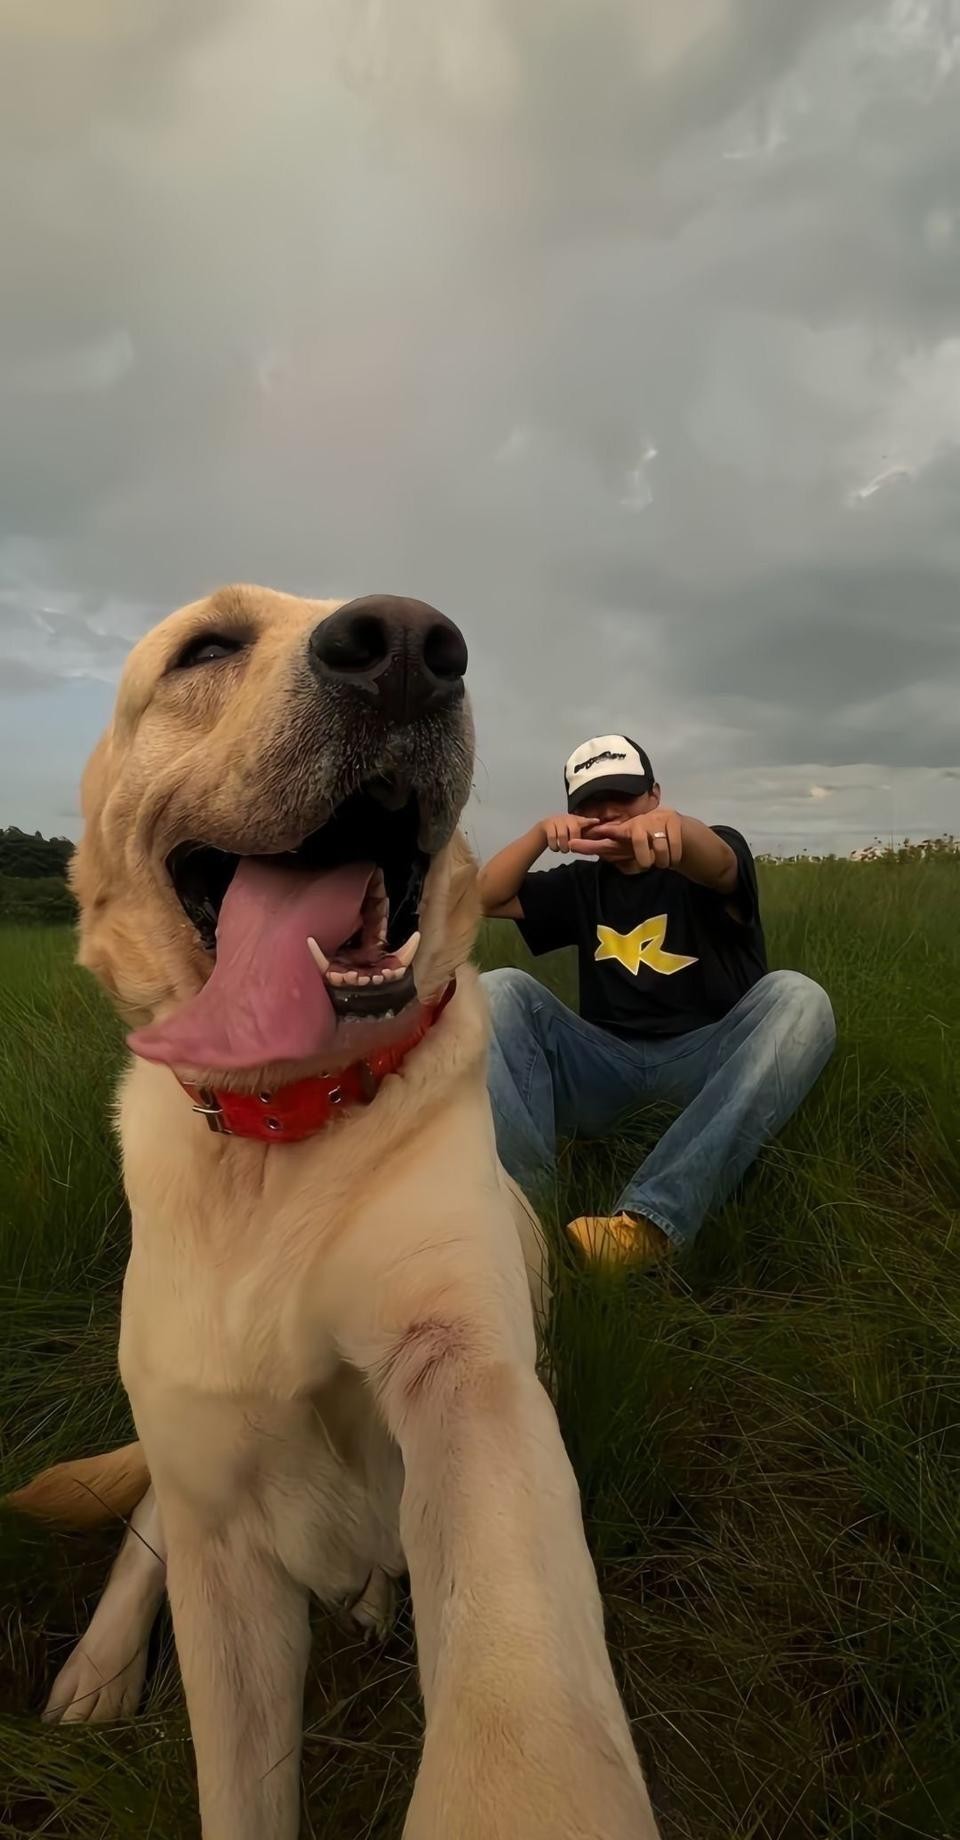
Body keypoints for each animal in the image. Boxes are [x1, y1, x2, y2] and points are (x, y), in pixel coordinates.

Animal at [11, 592, 658, 1840]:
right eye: (207, 648)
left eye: (430, 644)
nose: (408, 646)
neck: (283, 1129)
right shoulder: (210, 1490)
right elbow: (234, 1771)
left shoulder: (464, 1372)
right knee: (146, 1523)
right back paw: (99, 1666)